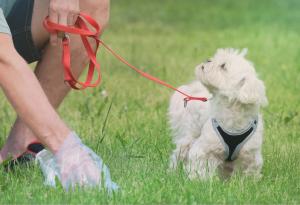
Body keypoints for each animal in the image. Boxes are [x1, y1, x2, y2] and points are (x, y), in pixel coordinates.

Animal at [169, 48, 268, 179]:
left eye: (223, 66)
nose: (208, 59)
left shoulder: (249, 156)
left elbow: (246, 172)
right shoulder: (205, 149)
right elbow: (201, 167)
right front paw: (199, 180)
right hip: (190, 134)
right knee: (179, 153)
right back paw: (172, 172)